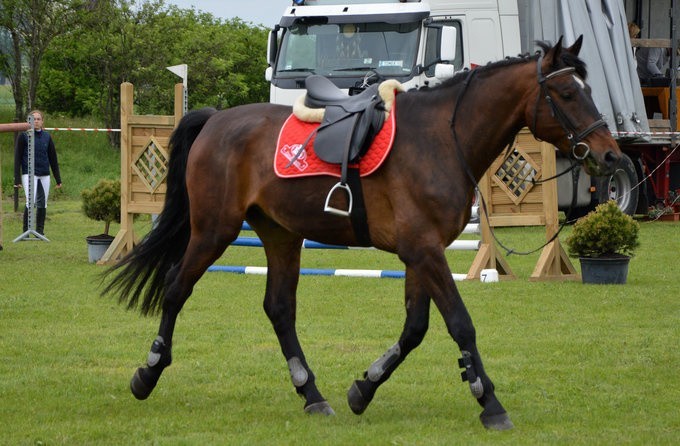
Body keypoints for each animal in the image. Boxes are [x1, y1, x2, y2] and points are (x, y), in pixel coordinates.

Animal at [105, 37, 620, 428]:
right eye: (568, 94)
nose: (611, 155)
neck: (441, 138)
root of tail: (215, 119)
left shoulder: (420, 253)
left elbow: (415, 328)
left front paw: (363, 388)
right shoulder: (425, 251)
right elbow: (460, 324)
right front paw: (488, 401)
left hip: (281, 235)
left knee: (279, 309)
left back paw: (312, 394)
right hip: (215, 230)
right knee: (176, 288)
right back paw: (147, 374)